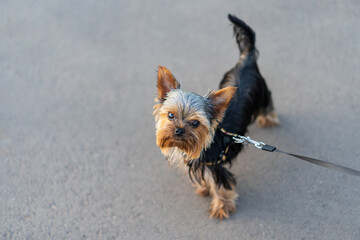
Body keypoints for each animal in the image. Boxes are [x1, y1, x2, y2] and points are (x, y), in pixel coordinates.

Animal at [153, 13, 280, 219]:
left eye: (195, 123)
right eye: (170, 115)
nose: (178, 130)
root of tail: (247, 58)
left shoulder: (215, 168)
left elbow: (221, 188)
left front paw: (222, 207)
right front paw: (204, 189)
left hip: (261, 91)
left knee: (267, 102)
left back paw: (269, 119)